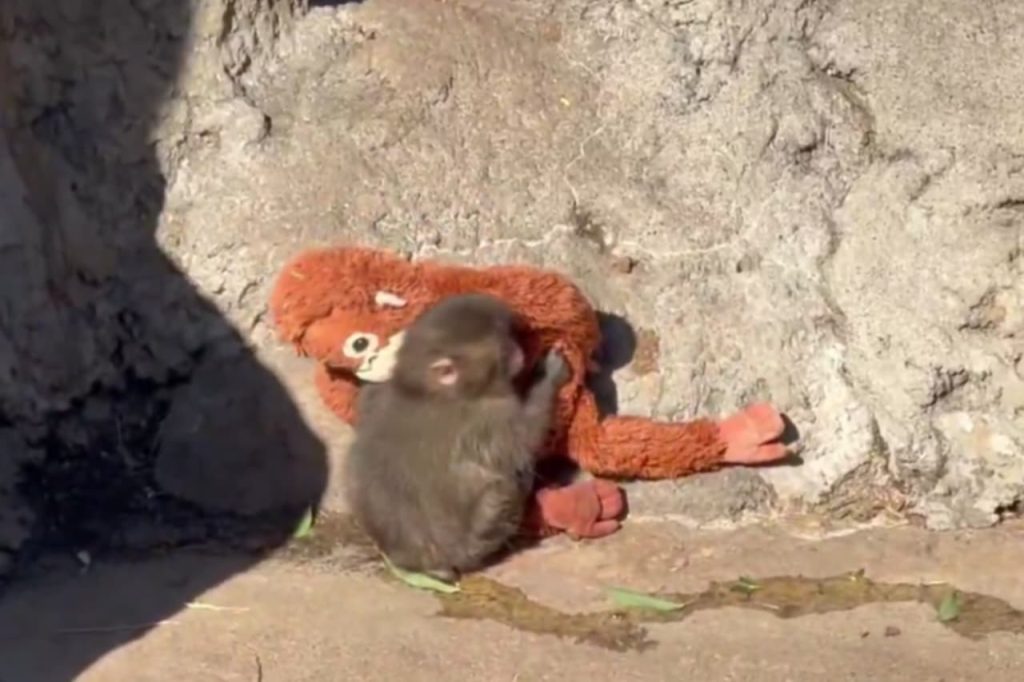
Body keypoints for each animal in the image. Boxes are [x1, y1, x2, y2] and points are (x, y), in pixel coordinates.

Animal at [343, 293, 570, 581]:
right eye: (503, 344)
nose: (519, 351)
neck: (428, 390)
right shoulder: (489, 416)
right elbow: (525, 440)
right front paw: (549, 375)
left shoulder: (380, 392)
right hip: (478, 535)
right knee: (503, 486)